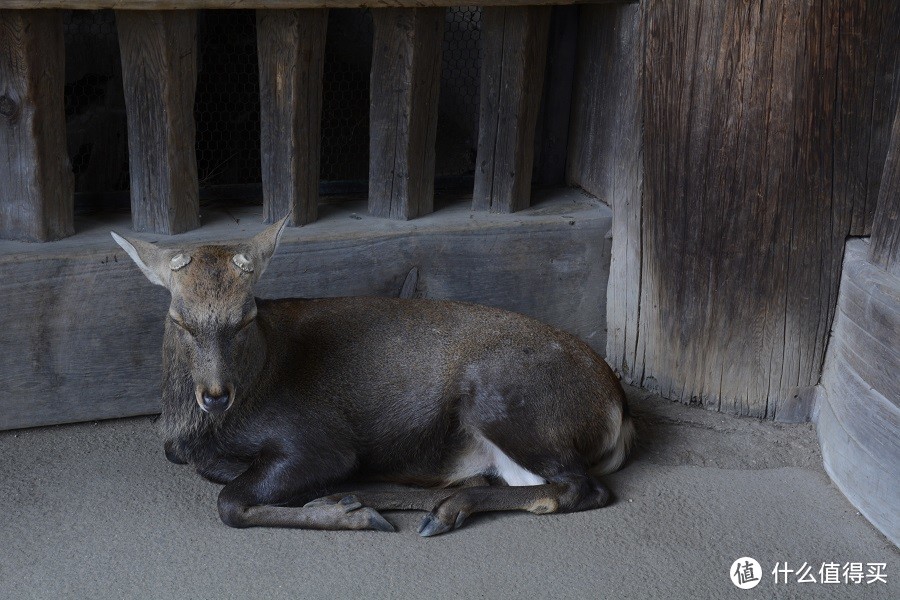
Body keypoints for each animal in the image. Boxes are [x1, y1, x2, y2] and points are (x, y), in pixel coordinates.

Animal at [110, 218, 632, 536]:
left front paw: (348, 514)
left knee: (582, 487)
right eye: (178, 318)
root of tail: (618, 410)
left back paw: (418, 508)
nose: (215, 396)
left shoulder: (316, 438)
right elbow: (207, 469)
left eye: (247, 315)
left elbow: (229, 502)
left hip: (508, 402)